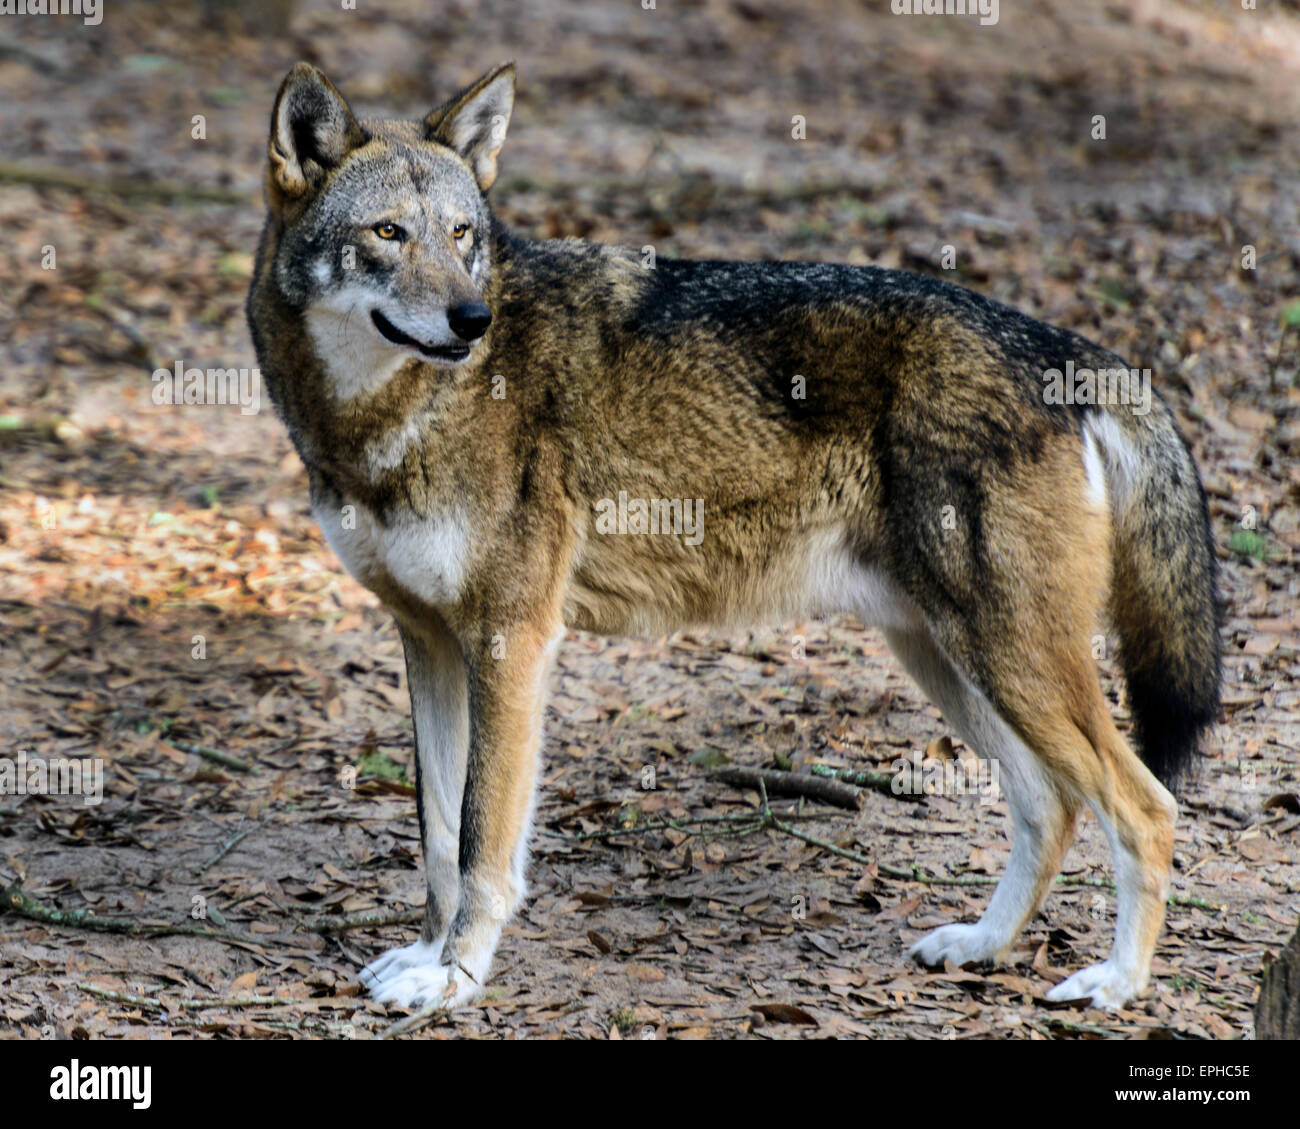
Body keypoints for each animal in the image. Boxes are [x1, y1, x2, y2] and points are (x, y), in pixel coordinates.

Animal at [246, 61, 1220, 1013]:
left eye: (461, 236)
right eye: (389, 233)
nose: (471, 320)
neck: (389, 418)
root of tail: (1062, 344)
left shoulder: (509, 640)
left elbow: (483, 838)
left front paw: (454, 980)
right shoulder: (429, 642)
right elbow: (438, 834)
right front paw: (424, 956)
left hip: (1008, 659)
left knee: (1147, 805)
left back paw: (1115, 984)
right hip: (952, 660)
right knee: (1050, 806)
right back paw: (980, 945)